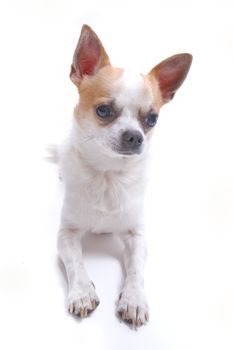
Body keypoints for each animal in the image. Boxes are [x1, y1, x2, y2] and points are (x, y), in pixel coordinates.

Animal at [57, 24, 192, 328]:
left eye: (152, 119)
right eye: (103, 111)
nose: (135, 136)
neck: (108, 175)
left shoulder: (136, 236)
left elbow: (136, 271)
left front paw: (134, 299)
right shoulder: (66, 234)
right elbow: (76, 262)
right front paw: (81, 292)